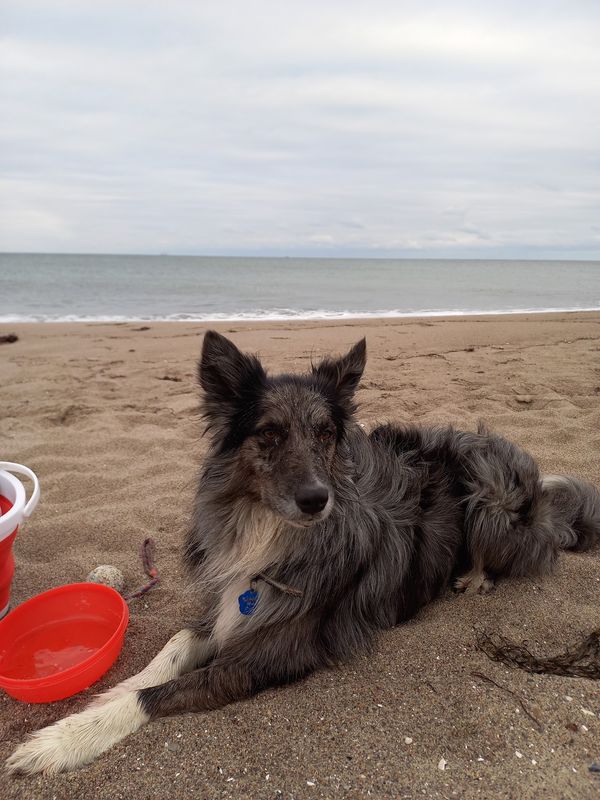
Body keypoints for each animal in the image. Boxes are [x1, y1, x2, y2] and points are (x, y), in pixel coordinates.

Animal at [5, 332, 600, 776]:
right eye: (268, 433)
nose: (317, 499)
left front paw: (61, 742)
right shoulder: (228, 606)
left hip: (489, 492)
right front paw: (111, 691)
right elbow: (169, 652)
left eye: (324, 433)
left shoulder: (268, 655)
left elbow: (158, 695)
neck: (272, 531)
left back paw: (474, 579)